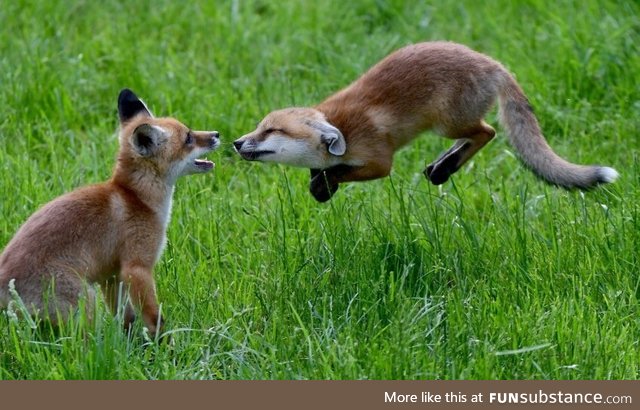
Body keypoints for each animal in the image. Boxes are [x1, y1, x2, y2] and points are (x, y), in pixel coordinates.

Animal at [0, 89, 220, 336]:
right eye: (188, 138)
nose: (217, 134)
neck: (137, 198)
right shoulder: (137, 268)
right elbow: (155, 319)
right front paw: (163, 343)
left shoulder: (111, 276)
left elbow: (126, 318)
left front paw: (129, 341)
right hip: (85, 303)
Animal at [232, 41, 616, 202]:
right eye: (260, 126)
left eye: (272, 130)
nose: (236, 142)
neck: (343, 128)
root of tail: (493, 63)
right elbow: (322, 173)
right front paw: (321, 188)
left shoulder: (379, 161)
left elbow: (341, 170)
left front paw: (327, 182)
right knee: (477, 136)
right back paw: (442, 166)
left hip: (448, 123)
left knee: (487, 132)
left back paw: (445, 167)